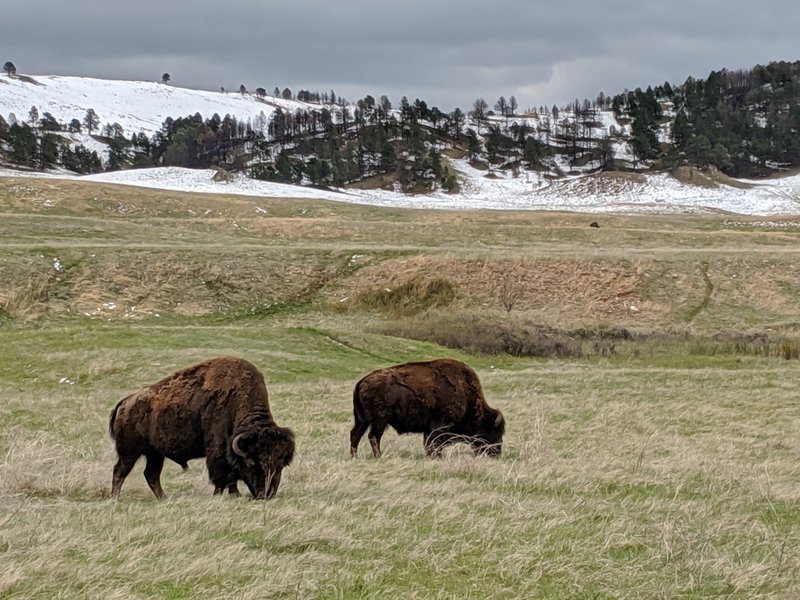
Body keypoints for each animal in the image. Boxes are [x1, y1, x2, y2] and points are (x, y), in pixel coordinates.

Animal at [107, 356, 294, 502]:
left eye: (280, 464)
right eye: (252, 463)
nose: (266, 494)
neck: (238, 399)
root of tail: (125, 403)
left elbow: (231, 475)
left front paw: (235, 494)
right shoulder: (218, 449)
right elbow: (222, 475)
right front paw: (219, 495)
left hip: (155, 453)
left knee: (151, 475)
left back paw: (164, 498)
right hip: (129, 453)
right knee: (120, 471)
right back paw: (116, 498)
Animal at [350, 356, 506, 460]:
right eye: (494, 432)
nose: (496, 453)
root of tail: (362, 381)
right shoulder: (440, 426)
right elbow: (434, 442)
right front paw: (437, 456)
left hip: (362, 420)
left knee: (355, 434)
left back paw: (354, 456)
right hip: (379, 420)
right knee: (373, 437)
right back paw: (379, 456)